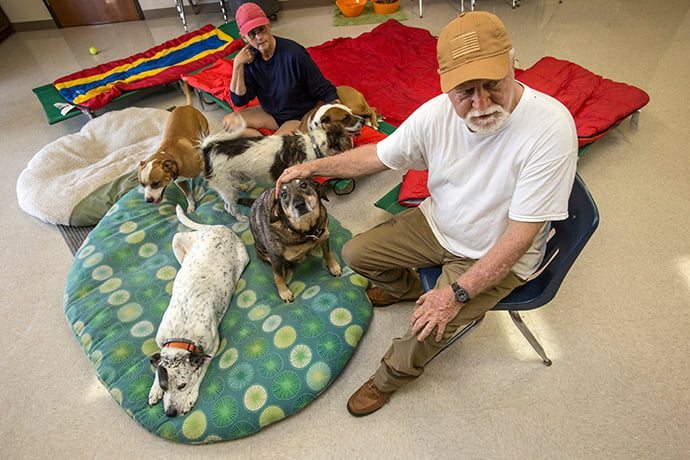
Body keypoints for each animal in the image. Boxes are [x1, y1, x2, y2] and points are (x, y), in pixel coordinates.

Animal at [146, 205, 249, 416]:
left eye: (183, 385)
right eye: (164, 386)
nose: (170, 413)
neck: (180, 336)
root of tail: (215, 227)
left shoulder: (211, 348)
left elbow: (200, 374)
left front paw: (191, 398)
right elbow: (158, 366)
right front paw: (154, 390)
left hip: (243, 258)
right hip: (178, 240)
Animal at [199, 117, 350, 220]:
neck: (313, 145)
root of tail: (208, 149)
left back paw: (242, 186)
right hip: (225, 186)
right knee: (229, 207)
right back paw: (241, 217)